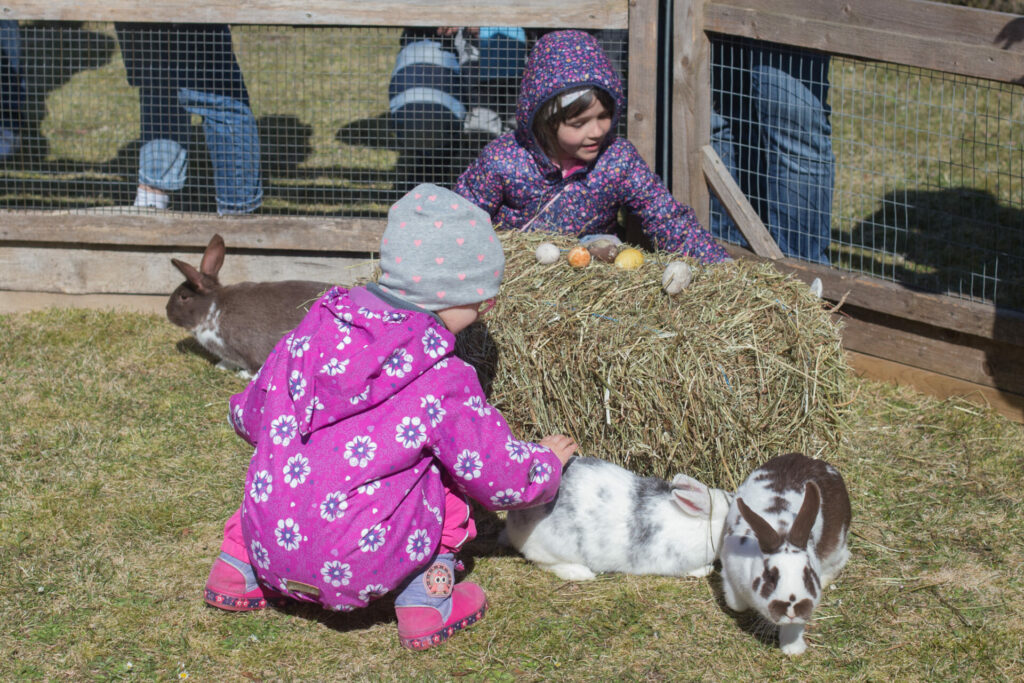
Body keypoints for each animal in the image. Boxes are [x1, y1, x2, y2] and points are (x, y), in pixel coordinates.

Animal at [165, 233, 329, 374]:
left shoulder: (248, 350)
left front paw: (242, 374)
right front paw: (221, 366)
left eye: (183, 297)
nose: (167, 311)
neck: (214, 309)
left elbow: (254, 367)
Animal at [720, 454, 856, 655]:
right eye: (770, 577)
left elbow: (793, 628)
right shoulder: (730, 569)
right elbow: (735, 604)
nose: (792, 610)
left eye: (808, 577)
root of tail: (816, 463)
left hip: (836, 545)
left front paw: (793, 650)